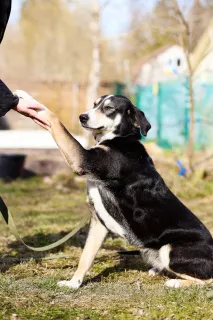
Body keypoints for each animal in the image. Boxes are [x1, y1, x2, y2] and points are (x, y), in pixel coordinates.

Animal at [14, 91, 213, 288]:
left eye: (109, 108)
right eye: (94, 104)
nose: (82, 117)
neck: (121, 138)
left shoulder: (82, 159)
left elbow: (55, 121)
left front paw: (28, 100)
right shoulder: (98, 222)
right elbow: (85, 257)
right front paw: (74, 284)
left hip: (170, 249)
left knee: (207, 280)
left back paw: (175, 282)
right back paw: (158, 270)